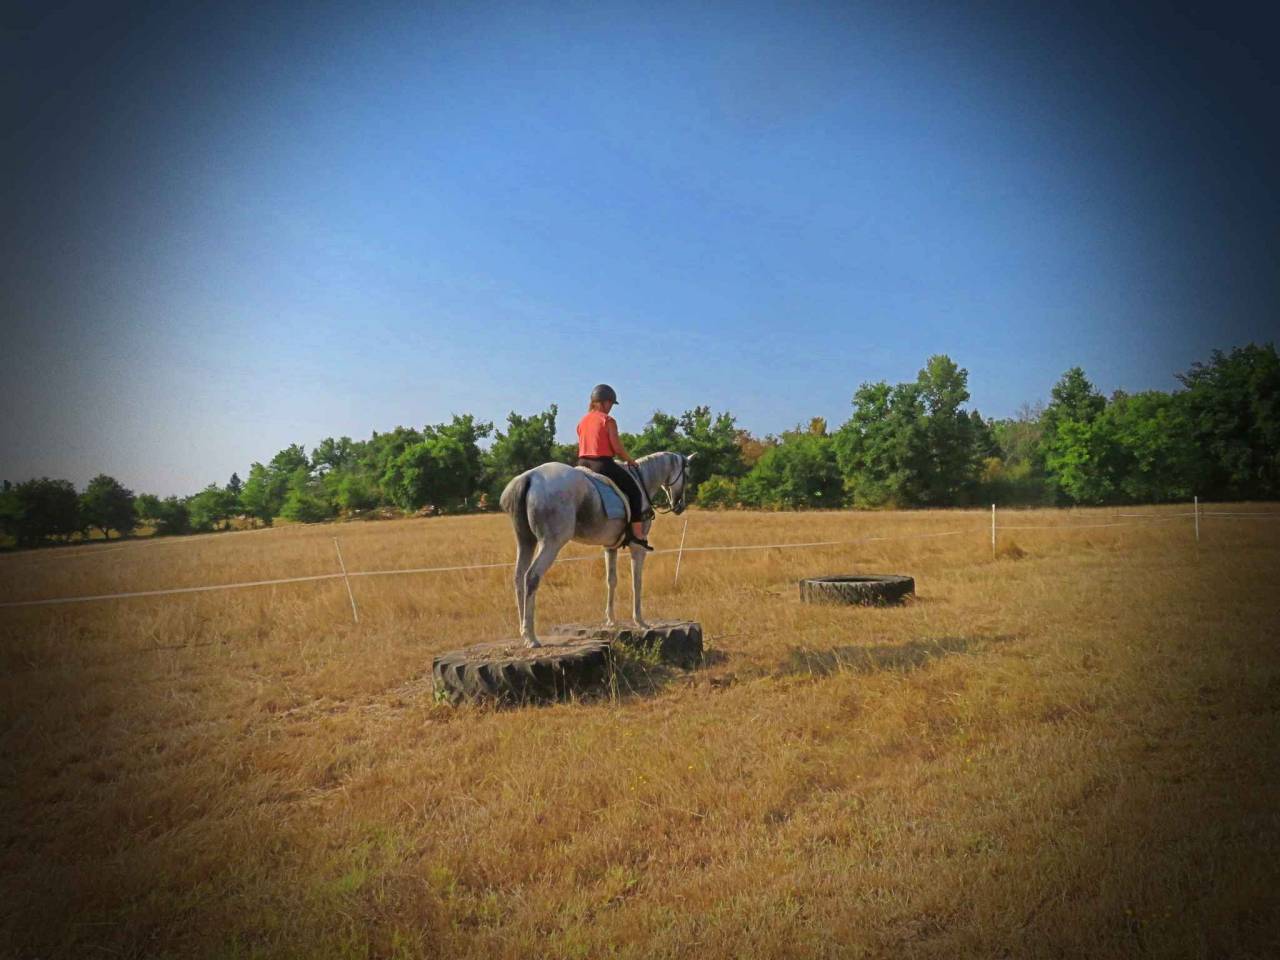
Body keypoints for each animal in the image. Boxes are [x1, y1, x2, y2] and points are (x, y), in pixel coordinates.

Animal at [498, 451, 693, 647]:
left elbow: (611, 580)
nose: (679, 506)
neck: (641, 480)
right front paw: (640, 621)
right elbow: (636, 582)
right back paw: (531, 637)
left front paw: (611, 620)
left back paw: (523, 632)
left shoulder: (610, 547)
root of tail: (529, 477)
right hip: (551, 544)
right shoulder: (638, 547)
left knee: (518, 577)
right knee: (531, 577)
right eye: (687, 475)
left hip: (526, 541)